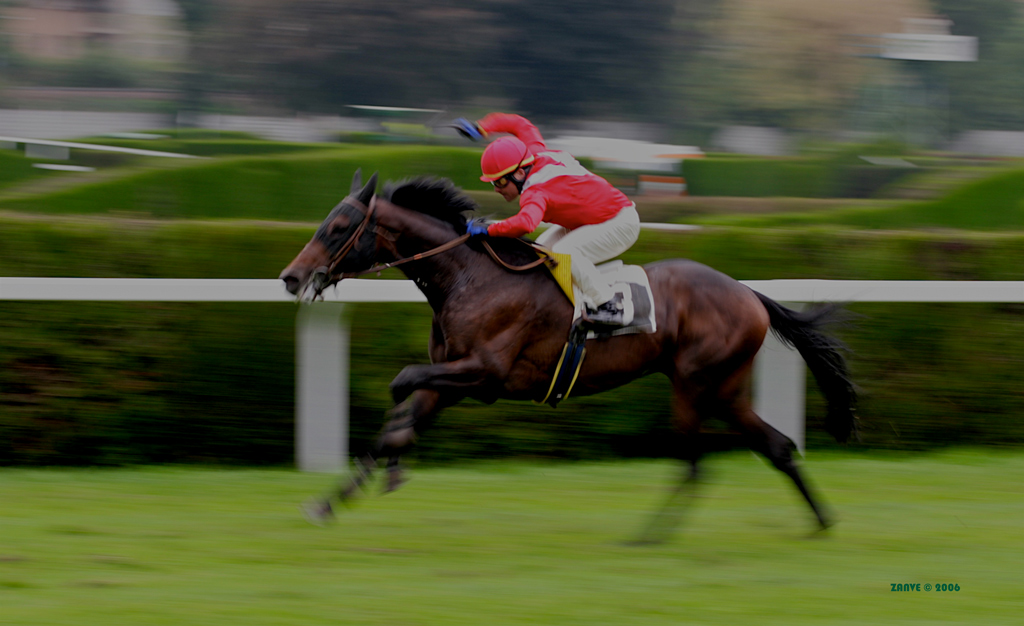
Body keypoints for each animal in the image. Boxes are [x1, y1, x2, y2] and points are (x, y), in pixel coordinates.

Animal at [279, 170, 857, 537]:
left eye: (337, 228)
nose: (290, 277)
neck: (470, 277)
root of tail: (748, 294)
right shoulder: (451, 378)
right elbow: (401, 410)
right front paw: (328, 502)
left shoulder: (483, 376)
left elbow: (400, 382)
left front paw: (396, 461)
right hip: (725, 390)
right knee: (778, 447)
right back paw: (821, 522)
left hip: (695, 385)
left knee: (695, 465)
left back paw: (649, 535)